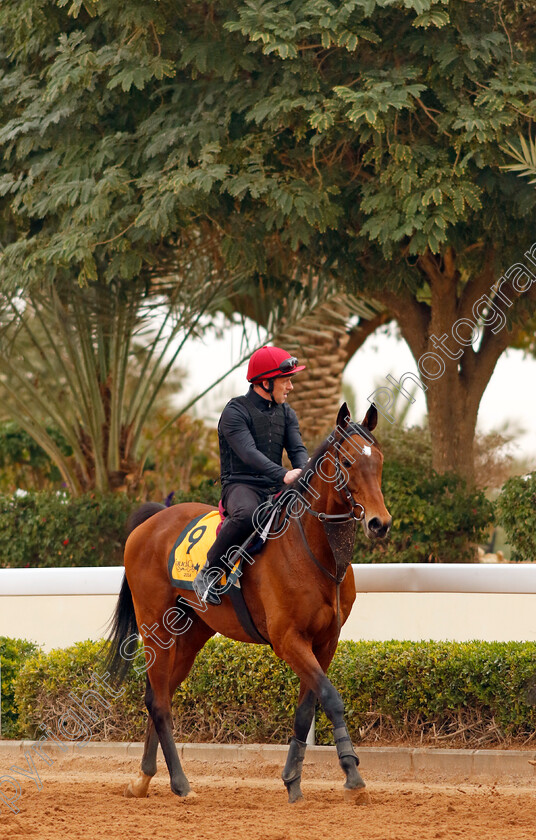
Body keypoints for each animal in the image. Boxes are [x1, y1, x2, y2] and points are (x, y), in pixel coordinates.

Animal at [105, 406, 390, 808]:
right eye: (348, 462)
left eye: (378, 461)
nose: (380, 523)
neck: (313, 551)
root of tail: (151, 522)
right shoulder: (288, 640)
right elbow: (331, 698)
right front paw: (352, 773)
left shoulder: (325, 642)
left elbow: (306, 709)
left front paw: (293, 781)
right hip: (155, 628)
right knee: (159, 703)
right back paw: (181, 784)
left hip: (190, 635)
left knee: (157, 696)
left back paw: (143, 779)